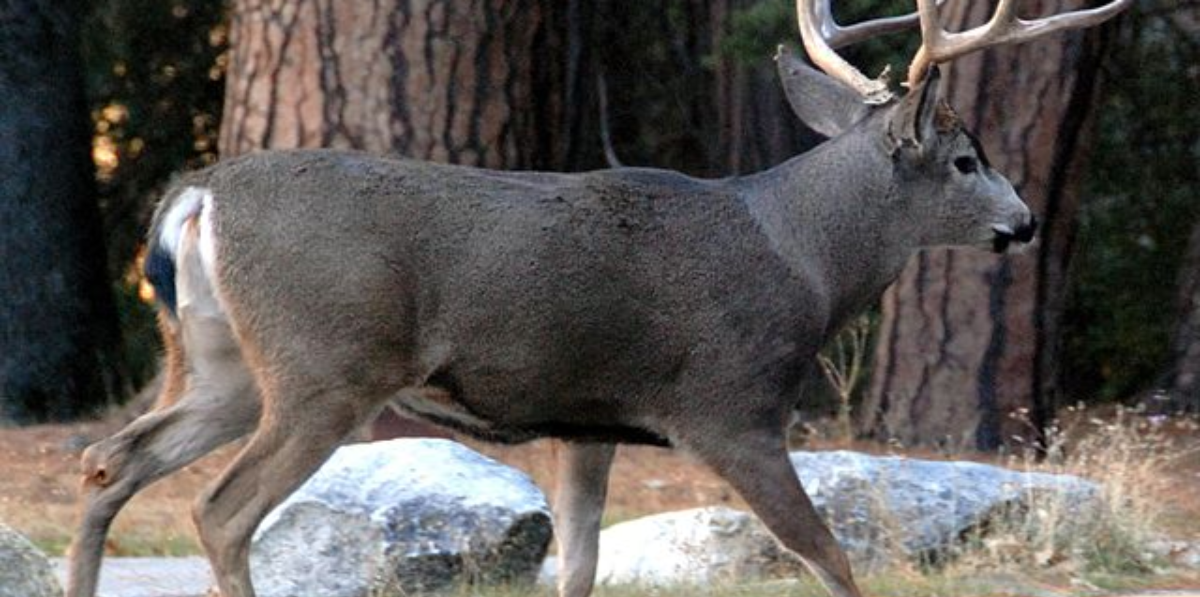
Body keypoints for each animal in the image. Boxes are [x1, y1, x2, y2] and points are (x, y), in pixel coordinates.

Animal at [68, 0, 1132, 594]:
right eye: (966, 160)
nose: (1025, 221)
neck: (805, 258)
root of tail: (197, 195)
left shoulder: (586, 419)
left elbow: (577, 568)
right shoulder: (731, 404)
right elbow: (829, 557)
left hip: (221, 362)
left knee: (108, 461)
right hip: (325, 365)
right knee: (219, 509)